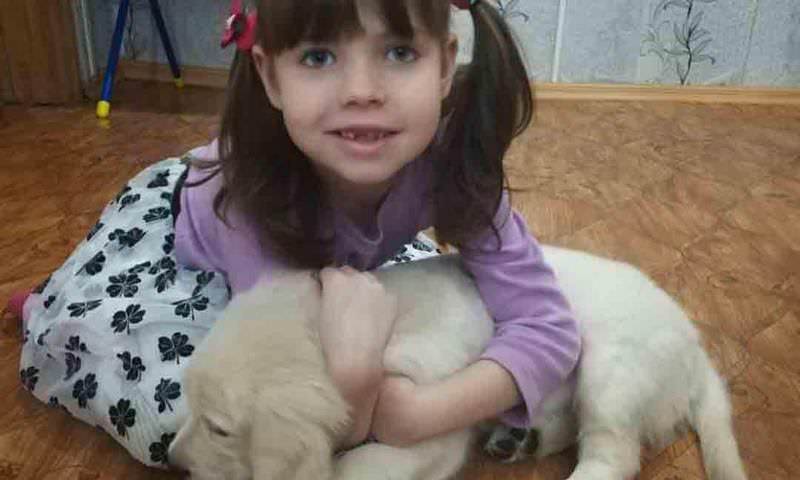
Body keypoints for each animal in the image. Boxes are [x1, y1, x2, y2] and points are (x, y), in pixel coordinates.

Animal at [168, 246, 748, 480]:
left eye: (220, 429)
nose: (172, 460)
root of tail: (696, 350)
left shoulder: (427, 431)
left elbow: (354, 468)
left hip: (611, 369)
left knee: (614, 455)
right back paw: (518, 440)